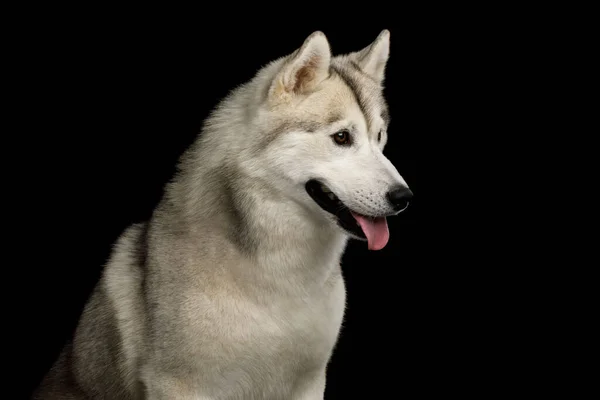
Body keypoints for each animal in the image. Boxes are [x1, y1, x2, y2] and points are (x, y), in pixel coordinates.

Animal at [34, 28, 412, 400]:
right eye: (342, 137)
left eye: (380, 137)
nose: (404, 197)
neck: (280, 274)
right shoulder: (180, 385)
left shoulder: (309, 382)